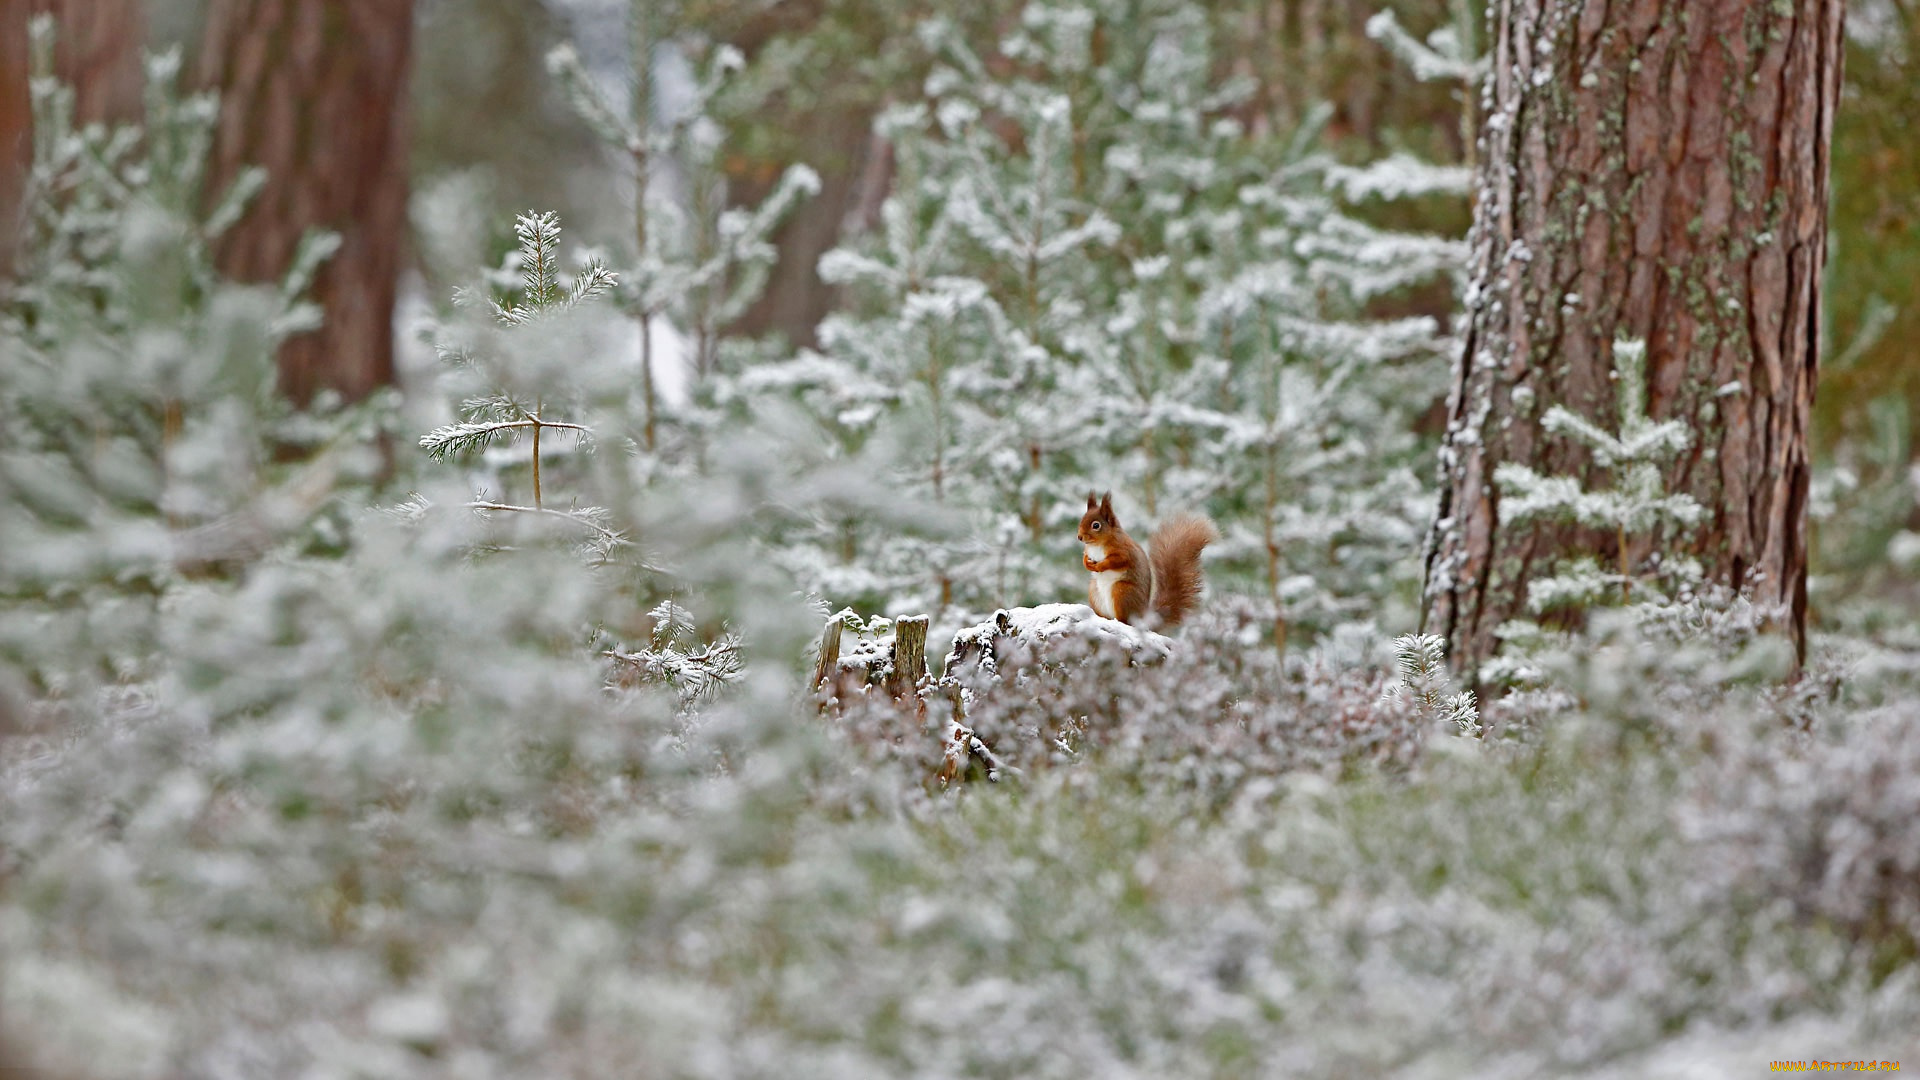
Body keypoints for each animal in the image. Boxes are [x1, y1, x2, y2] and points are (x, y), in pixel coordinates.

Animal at [1082, 490, 1213, 626]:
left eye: (1096, 525)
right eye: (1082, 519)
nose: (1079, 537)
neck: (1097, 544)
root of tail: (1143, 618)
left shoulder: (1125, 551)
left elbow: (1117, 561)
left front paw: (1100, 565)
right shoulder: (1088, 551)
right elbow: (1085, 556)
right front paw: (1086, 563)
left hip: (1122, 591)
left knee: (1126, 620)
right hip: (1094, 591)